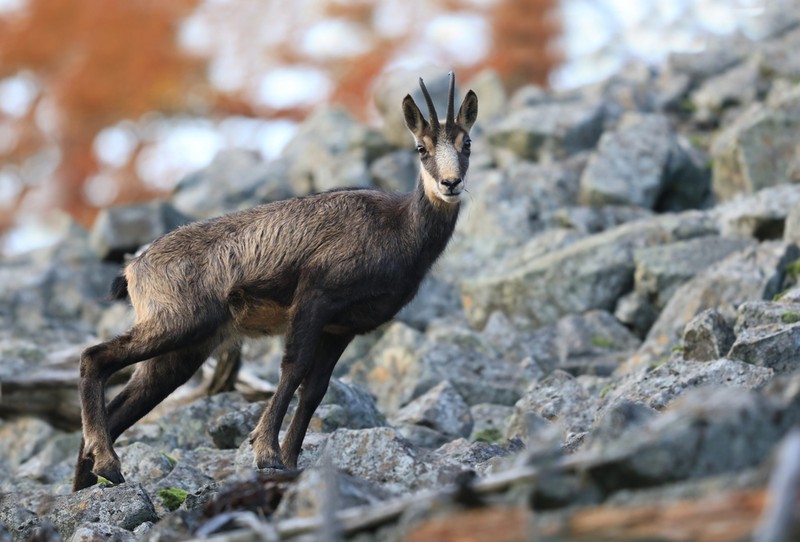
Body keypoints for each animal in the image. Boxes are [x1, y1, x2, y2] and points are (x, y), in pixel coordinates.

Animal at [73, 73, 478, 491]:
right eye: (421, 147)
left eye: (467, 143)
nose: (450, 183)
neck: (399, 230)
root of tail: (133, 268)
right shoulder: (314, 296)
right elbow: (293, 368)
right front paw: (266, 452)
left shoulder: (341, 328)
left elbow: (315, 390)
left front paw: (291, 460)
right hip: (177, 322)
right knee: (94, 357)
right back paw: (107, 465)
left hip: (184, 351)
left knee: (121, 406)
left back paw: (90, 482)